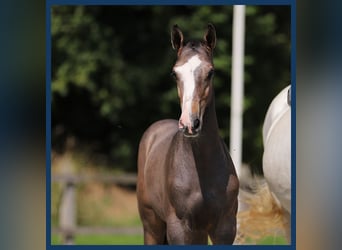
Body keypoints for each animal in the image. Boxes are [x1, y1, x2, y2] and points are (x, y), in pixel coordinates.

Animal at [136, 23, 238, 244]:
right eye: (175, 73)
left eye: (210, 72)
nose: (190, 124)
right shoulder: (179, 229)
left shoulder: (225, 228)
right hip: (152, 226)